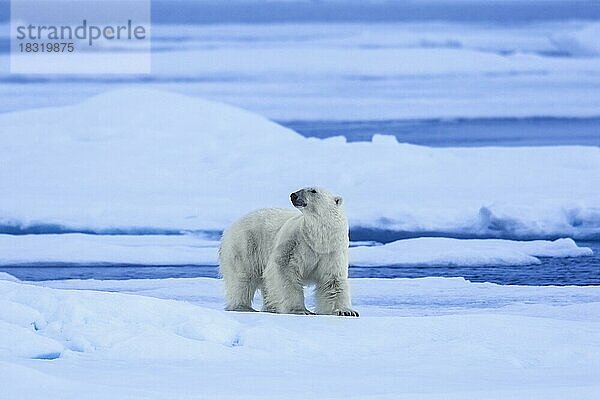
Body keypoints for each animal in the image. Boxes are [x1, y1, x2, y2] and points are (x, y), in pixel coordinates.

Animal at [220, 187, 360, 316]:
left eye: (313, 190)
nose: (294, 195)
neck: (318, 240)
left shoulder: (332, 252)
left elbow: (333, 280)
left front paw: (347, 311)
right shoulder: (294, 243)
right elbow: (284, 271)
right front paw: (300, 310)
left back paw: (271, 308)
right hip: (246, 244)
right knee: (243, 277)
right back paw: (243, 307)